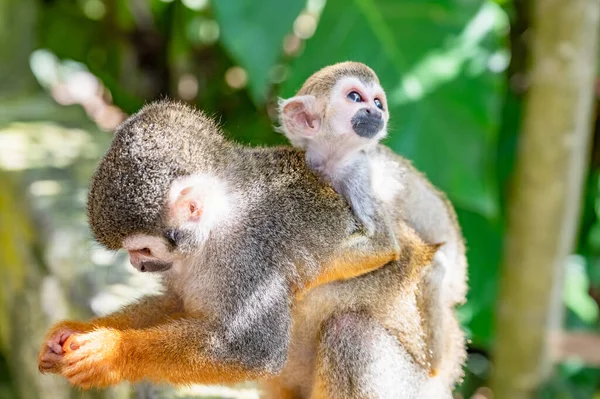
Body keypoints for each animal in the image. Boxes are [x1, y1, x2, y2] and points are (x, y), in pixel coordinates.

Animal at [278, 62, 466, 378]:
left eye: (378, 102)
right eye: (355, 97)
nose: (375, 112)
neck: (333, 159)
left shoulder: (359, 175)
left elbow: (383, 244)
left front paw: (299, 278)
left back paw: (435, 365)